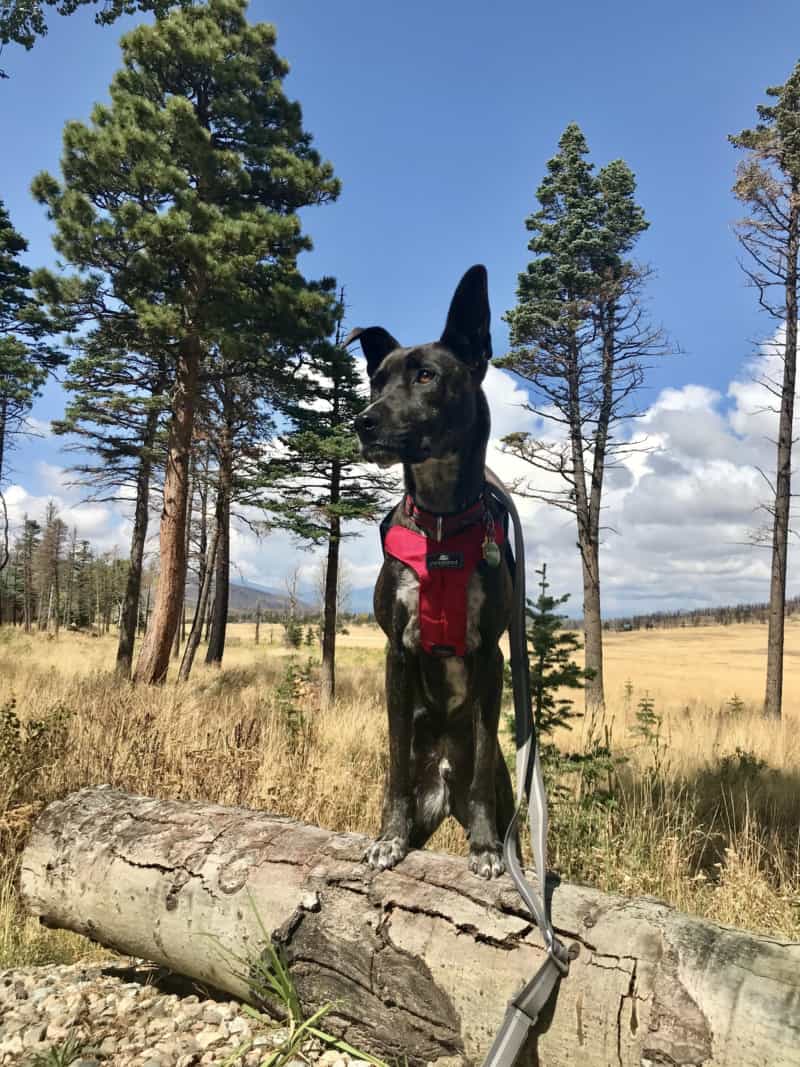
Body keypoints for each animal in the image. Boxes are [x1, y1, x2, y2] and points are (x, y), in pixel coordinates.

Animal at [349, 264, 514, 874]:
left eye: (426, 376)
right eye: (376, 382)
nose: (363, 422)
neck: (441, 522)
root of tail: (443, 772)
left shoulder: (492, 656)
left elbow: (486, 759)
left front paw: (485, 848)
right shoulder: (397, 653)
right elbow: (395, 762)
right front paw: (387, 838)